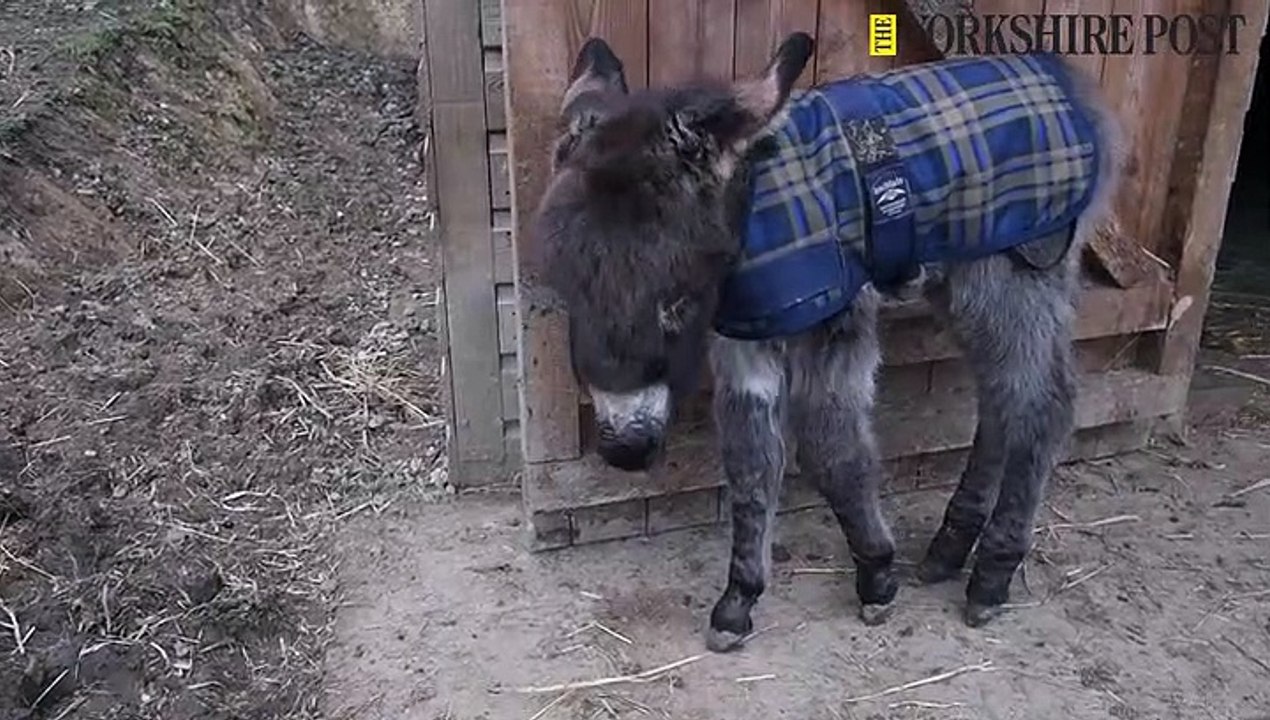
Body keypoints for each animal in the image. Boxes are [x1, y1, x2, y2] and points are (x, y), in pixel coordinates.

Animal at [527, 32, 1124, 652]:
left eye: (677, 300)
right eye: (569, 290)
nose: (625, 451)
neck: (754, 209)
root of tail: (1073, 88)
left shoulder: (830, 318)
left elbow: (831, 447)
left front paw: (877, 575)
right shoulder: (745, 338)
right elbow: (750, 461)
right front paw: (739, 600)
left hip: (1012, 275)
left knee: (1042, 405)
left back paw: (992, 573)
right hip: (968, 283)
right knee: (1002, 401)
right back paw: (952, 546)